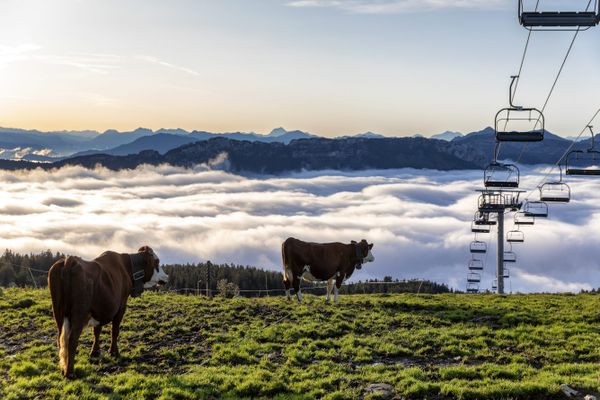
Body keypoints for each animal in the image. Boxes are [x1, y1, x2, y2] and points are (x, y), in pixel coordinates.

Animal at [47, 244, 168, 378]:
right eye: (157, 261)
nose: (166, 276)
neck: (127, 268)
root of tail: (70, 260)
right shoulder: (121, 305)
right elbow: (115, 330)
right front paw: (114, 352)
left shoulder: (99, 310)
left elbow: (97, 331)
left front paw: (95, 352)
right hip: (79, 312)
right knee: (72, 340)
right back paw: (70, 372)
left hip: (58, 312)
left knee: (60, 338)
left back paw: (63, 369)